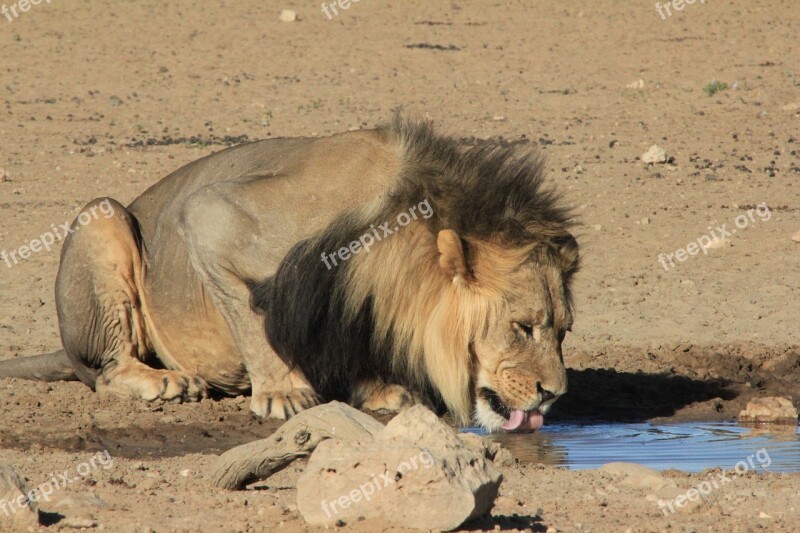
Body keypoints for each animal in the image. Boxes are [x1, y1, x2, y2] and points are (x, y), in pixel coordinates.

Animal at [0, 117, 580, 432]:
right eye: (522, 327)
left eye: (563, 330)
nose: (553, 394)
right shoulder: (211, 216)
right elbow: (252, 323)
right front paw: (283, 392)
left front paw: (378, 390)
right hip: (102, 217)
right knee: (106, 369)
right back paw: (164, 381)